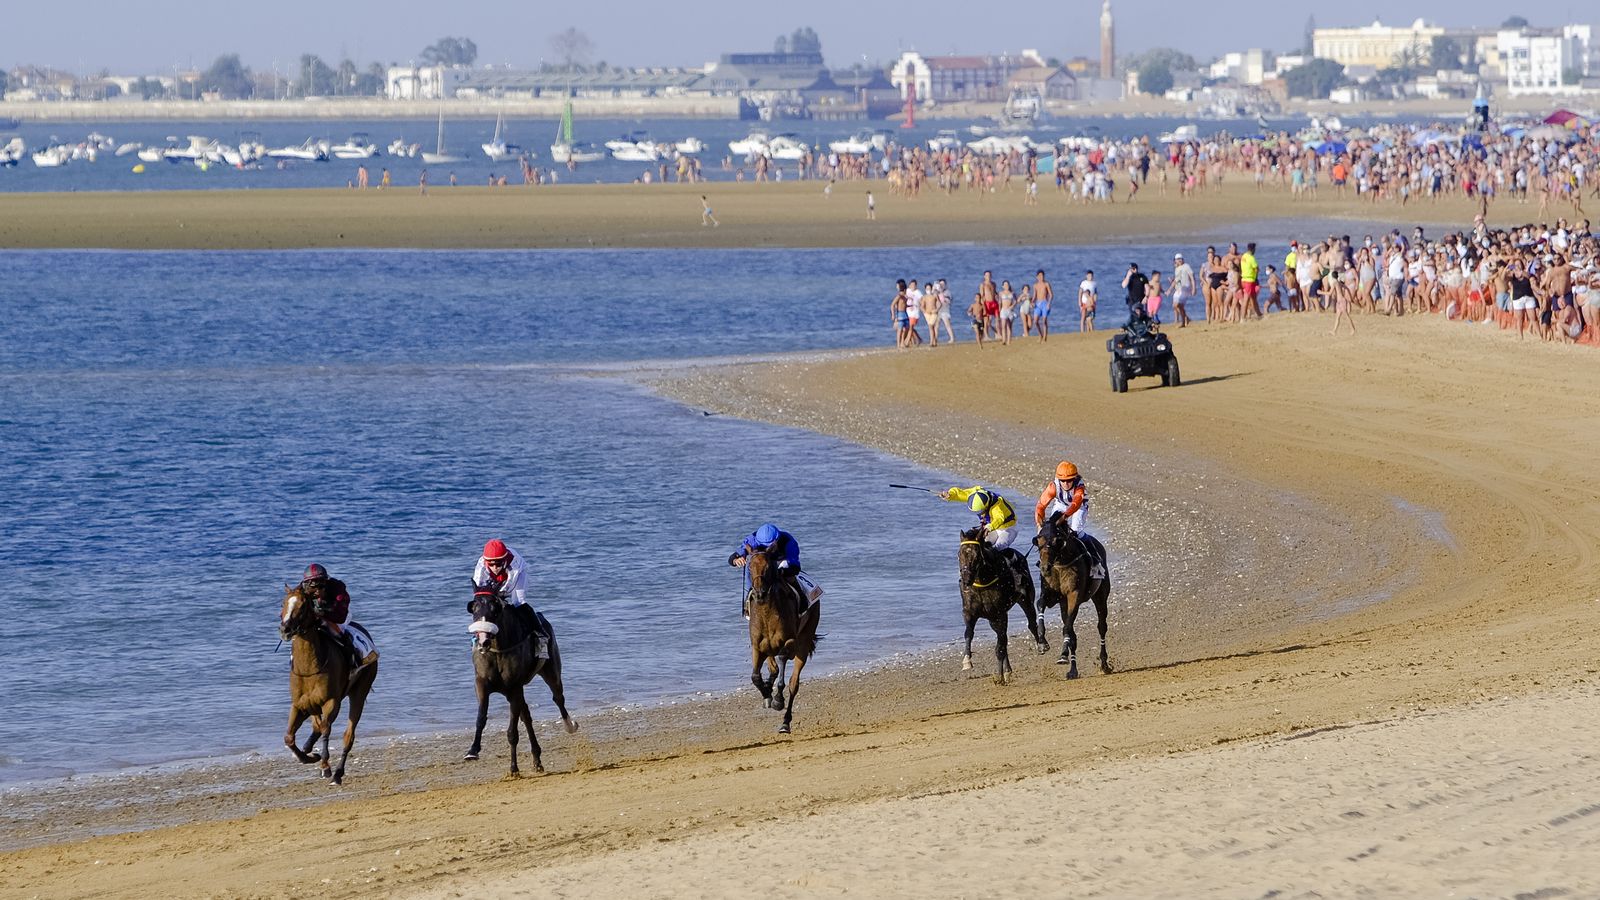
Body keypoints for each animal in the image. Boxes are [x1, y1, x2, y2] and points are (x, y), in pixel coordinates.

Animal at [278, 585, 378, 785]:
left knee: (348, 736)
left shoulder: (331, 702)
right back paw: (309, 747)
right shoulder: (299, 705)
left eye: (303, 605)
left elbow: (326, 728)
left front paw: (325, 766)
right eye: (283, 603)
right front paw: (308, 757)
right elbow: (289, 737)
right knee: (316, 726)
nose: (285, 629)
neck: (309, 667)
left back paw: (338, 773)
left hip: (360, 692)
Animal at [465, 585, 578, 775]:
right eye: (474, 609)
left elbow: (512, 732)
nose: (483, 641)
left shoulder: (514, 687)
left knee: (558, 698)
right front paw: (473, 751)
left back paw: (569, 726)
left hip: (552, 671)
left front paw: (514, 769)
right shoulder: (482, 684)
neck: (498, 651)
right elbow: (481, 717)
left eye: (495, 611)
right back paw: (537, 759)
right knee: (527, 716)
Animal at [745, 546, 821, 734]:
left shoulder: (790, 642)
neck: (766, 612)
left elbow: (782, 660)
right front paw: (766, 694)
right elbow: (755, 676)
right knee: (773, 667)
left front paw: (778, 699)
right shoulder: (757, 646)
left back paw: (785, 722)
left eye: (768, 567)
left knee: (794, 683)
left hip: (805, 640)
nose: (760, 594)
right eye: (749, 567)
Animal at [957, 526, 1049, 684]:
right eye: (959, 554)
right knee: (1004, 638)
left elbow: (1000, 646)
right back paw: (1007, 670)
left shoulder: (1000, 614)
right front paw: (967, 661)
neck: (982, 582)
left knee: (1031, 624)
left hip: (1025, 600)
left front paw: (999, 676)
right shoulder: (969, 612)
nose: (966, 580)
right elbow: (969, 633)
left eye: (976, 555)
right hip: (993, 620)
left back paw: (1041, 645)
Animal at [1033, 524, 1113, 679]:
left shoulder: (1074, 596)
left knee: (1101, 626)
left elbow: (1067, 628)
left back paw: (1104, 664)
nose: (1044, 567)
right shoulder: (1052, 596)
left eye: (1056, 541)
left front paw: (1063, 653)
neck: (1060, 565)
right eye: (1038, 542)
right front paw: (1042, 643)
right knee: (1072, 633)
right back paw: (1072, 669)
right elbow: (1040, 605)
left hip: (1100, 596)